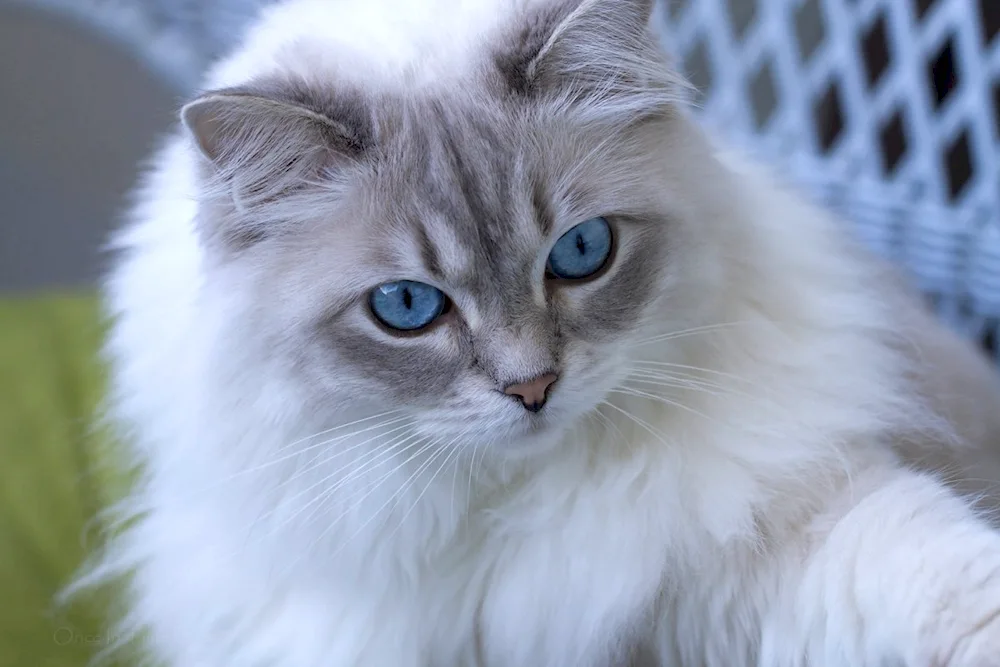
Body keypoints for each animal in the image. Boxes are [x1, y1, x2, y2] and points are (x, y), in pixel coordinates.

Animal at [76, 0, 1000, 664]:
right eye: (406, 307)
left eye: (582, 252)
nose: (532, 388)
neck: (509, 513)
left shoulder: (771, 537)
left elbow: (946, 583)